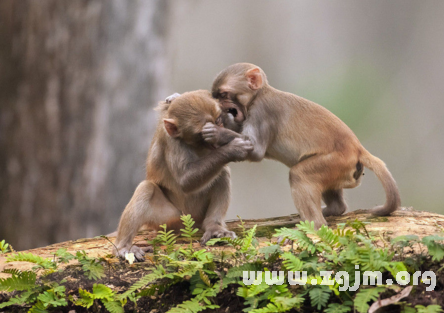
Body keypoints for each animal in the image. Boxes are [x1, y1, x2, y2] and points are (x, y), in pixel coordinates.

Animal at [113, 89, 253, 260]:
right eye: (201, 135)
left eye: (218, 120)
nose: (215, 139)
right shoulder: (172, 142)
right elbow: (185, 181)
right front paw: (233, 149)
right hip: (170, 220)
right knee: (147, 188)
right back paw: (123, 247)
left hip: (197, 216)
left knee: (222, 173)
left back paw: (214, 228)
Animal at [205, 62, 402, 229]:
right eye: (216, 96)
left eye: (223, 95)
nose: (219, 106)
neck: (258, 95)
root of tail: (357, 147)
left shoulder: (262, 111)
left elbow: (255, 150)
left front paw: (216, 132)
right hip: (341, 170)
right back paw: (334, 209)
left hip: (335, 161)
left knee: (299, 175)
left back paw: (314, 226)